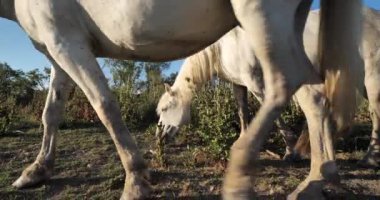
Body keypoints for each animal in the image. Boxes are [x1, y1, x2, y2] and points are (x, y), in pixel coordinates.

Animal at [155, 6, 380, 167]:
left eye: (165, 108)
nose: (160, 136)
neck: (225, 46)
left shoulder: (255, 81)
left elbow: (272, 113)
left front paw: (290, 150)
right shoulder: (239, 84)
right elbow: (242, 112)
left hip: (371, 78)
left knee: (375, 113)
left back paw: (369, 158)